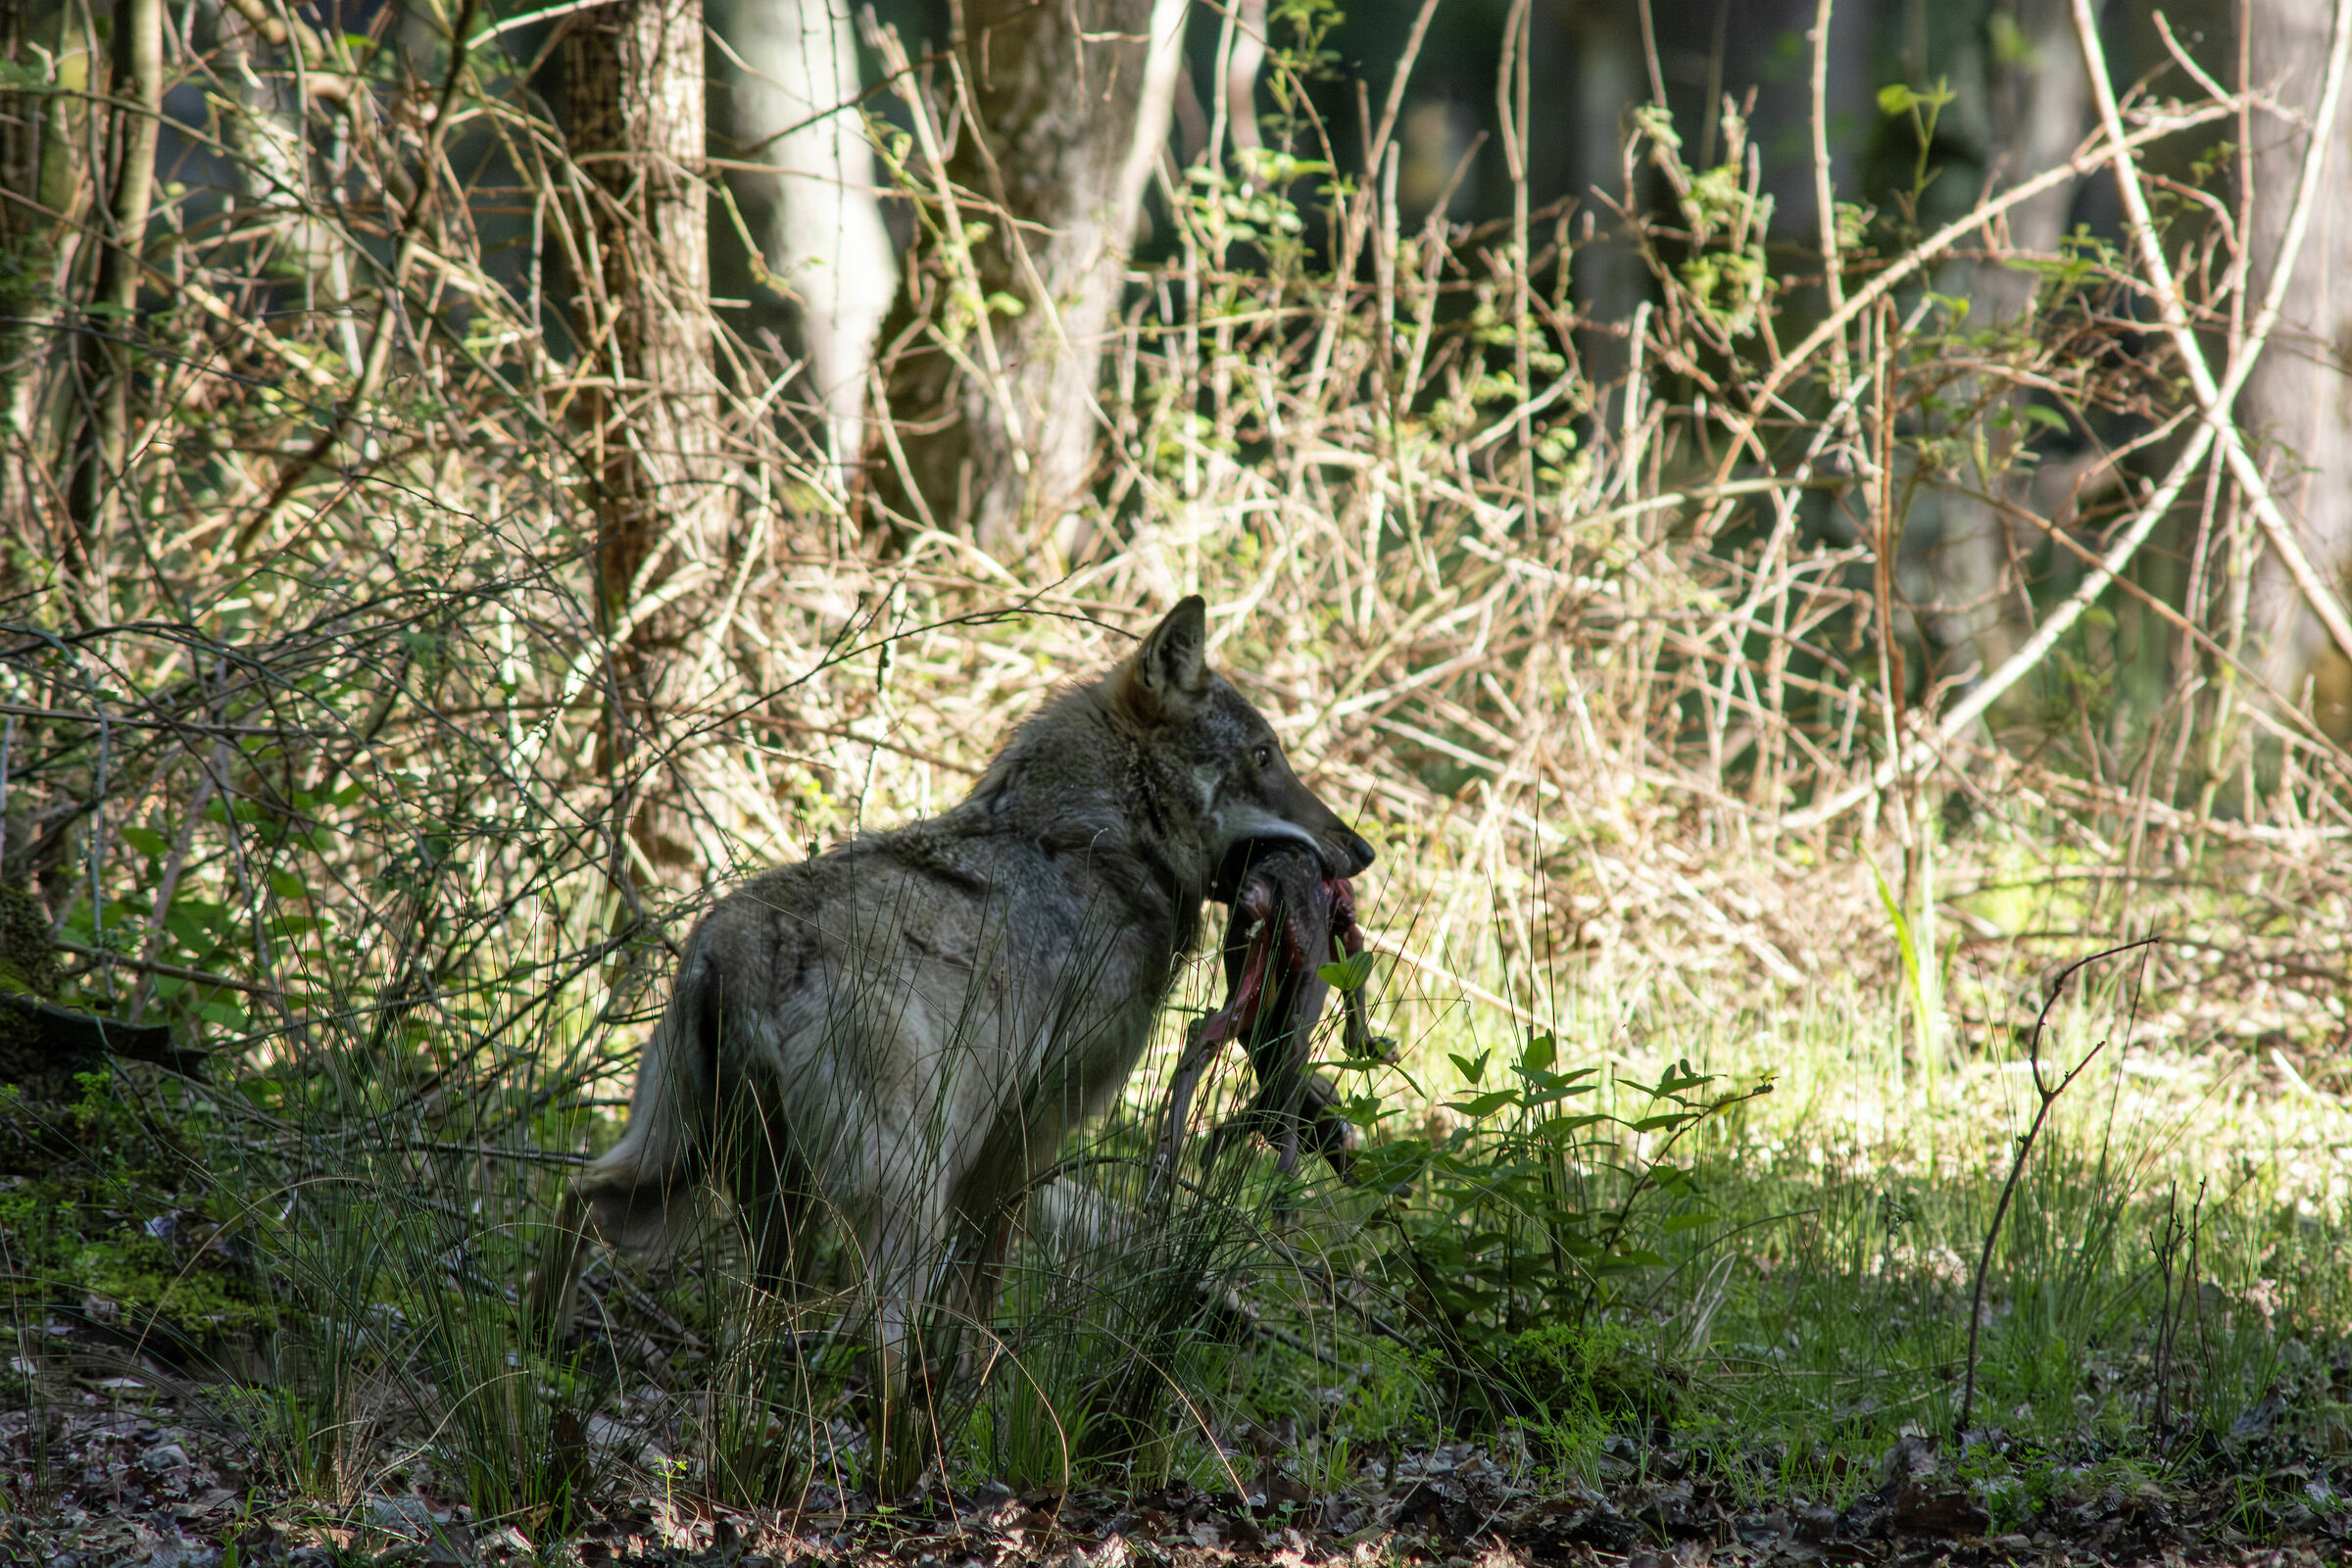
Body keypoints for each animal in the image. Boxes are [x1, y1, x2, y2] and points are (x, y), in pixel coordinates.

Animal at [529, 597, 1375, 1376]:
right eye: (1265, 755)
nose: (1362, 850)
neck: (1101, 842)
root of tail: (728, 951)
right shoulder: (1030, 1123)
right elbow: (983, 1294)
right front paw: (974, 1390)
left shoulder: (1005, 1139)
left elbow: (1049, 1251)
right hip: (893, 1201)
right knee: (875, 1341)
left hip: (681, 1181)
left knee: (576, 1201)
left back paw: (541, 1354)